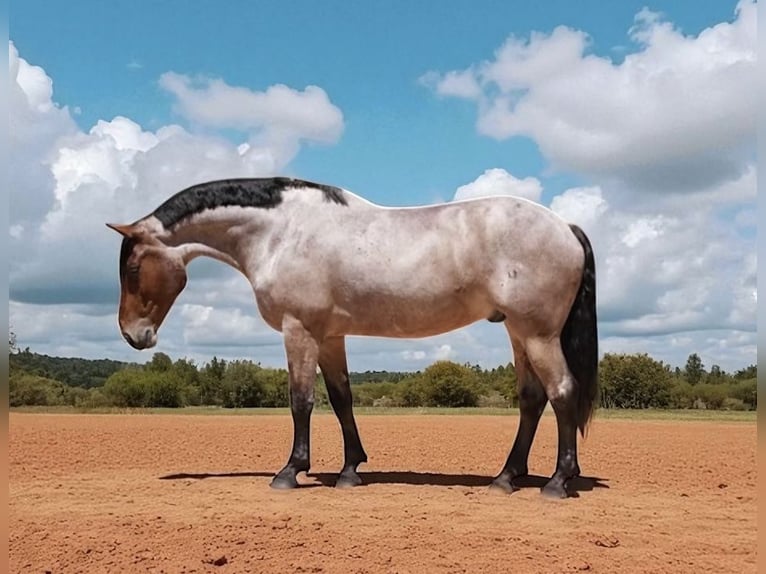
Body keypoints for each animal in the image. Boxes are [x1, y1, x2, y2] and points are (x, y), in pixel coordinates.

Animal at [107, 177, 598, 498]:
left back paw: (557, 482)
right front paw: (349, 470)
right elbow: (341, 399)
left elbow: (301, 401)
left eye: (131, 268)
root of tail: (566, 227)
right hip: (518, 333)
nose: (134, 335)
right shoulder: (329, 337)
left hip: (537, 334)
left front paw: (290, 472)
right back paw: (506, 478)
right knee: (532, 399)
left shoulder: (299, 331)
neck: (281, 232)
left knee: (562, 392)